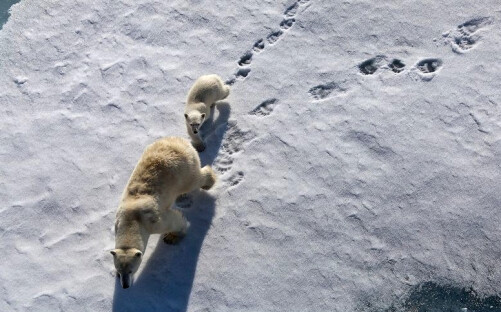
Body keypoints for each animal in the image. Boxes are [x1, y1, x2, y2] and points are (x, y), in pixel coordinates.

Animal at [110, 138, 215, 288]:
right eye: (119, 270)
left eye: (131, 270)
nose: (125, 286)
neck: (131, 219)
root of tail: (179, 140)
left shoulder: (153, 221)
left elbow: (173, 220)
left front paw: (172, 237)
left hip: (183, 170)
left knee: (194, 180)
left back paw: (208, 182)